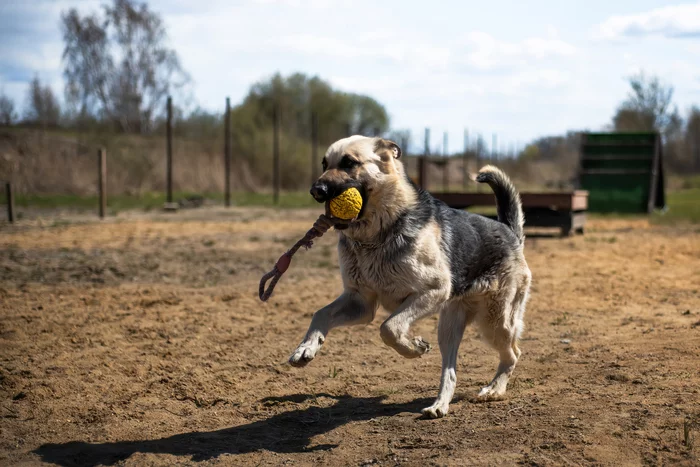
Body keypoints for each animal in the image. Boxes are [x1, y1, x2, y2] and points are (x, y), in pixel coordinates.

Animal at [288, 136, 532, 420]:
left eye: (349, 163)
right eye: (324, 164)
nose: (316, 190)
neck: (376, 235)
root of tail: (510, 232)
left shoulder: (432, 291)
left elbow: (389, 328)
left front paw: (412, 347)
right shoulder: (360, 303)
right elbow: (321, 313)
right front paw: (306, 348)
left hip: (495, 322)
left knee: (513, 353)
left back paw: (494, 389)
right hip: (449, 328)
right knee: (451, 372)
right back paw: (440, 405)